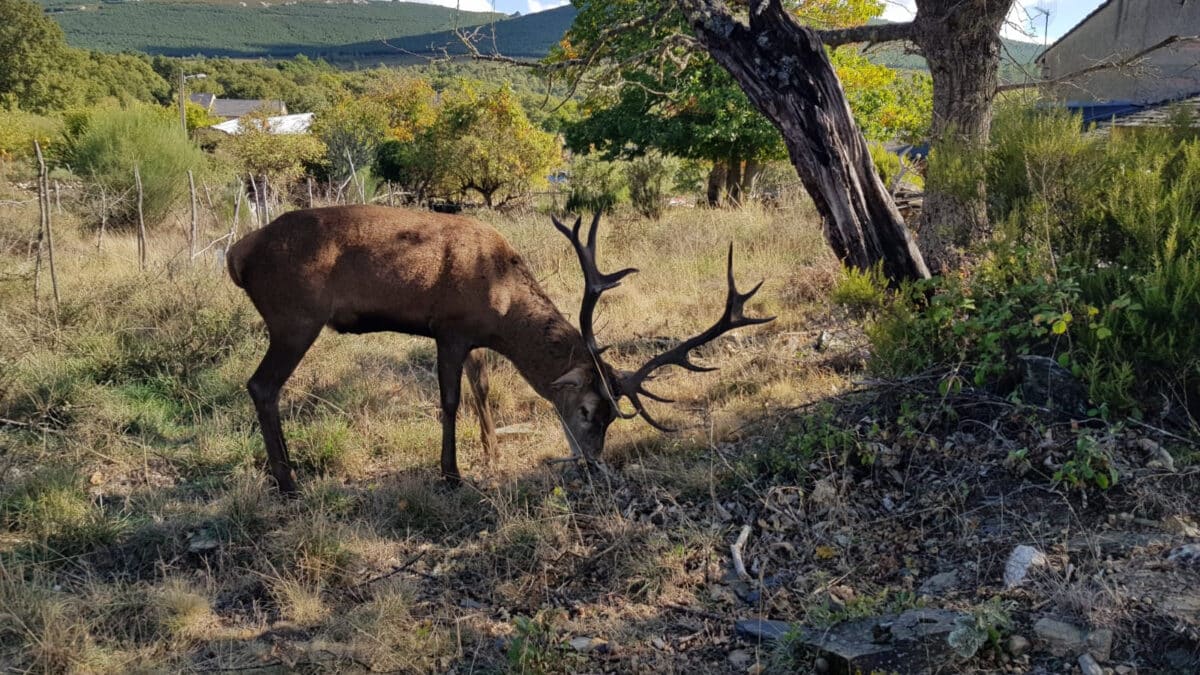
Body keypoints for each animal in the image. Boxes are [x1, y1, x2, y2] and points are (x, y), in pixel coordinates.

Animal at [225, 201, 772, 492]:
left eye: (614, 419)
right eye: (588, 410)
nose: (593, 464)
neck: (501, 301)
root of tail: (236, 254)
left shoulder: (474, 339)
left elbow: (481, 390)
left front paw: (491, 454)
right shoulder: (448, 328)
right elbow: (449, 401)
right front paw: (451, 473)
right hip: (295, 317)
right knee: (261, 385)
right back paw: (288, 481)